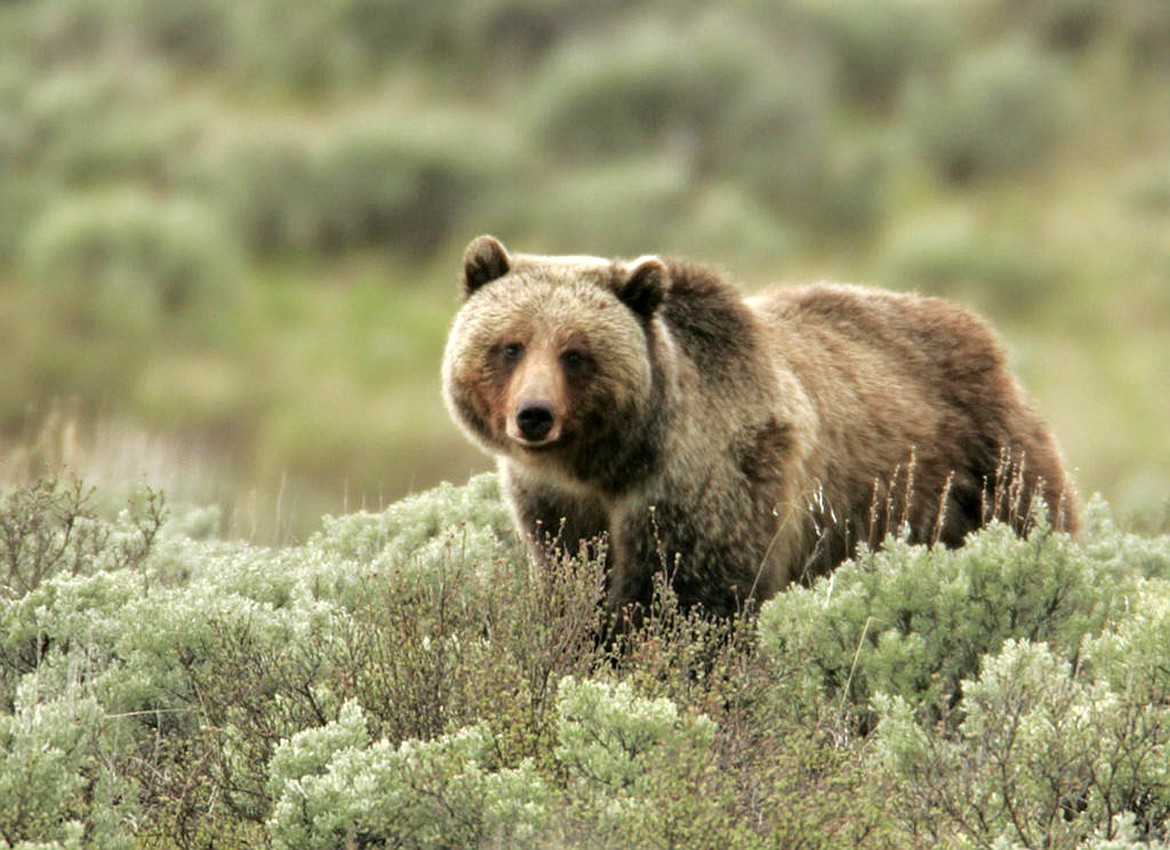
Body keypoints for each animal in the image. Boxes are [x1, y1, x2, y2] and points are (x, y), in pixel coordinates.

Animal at [444, 236, 1076, 622]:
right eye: (510, 346)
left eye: (576, 354)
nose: (534, 415)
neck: (610, 464)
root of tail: (983, 334)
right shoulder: (558, 507)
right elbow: (578, 581)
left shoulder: (711, 484)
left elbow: (695, 599)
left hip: (982, 470)